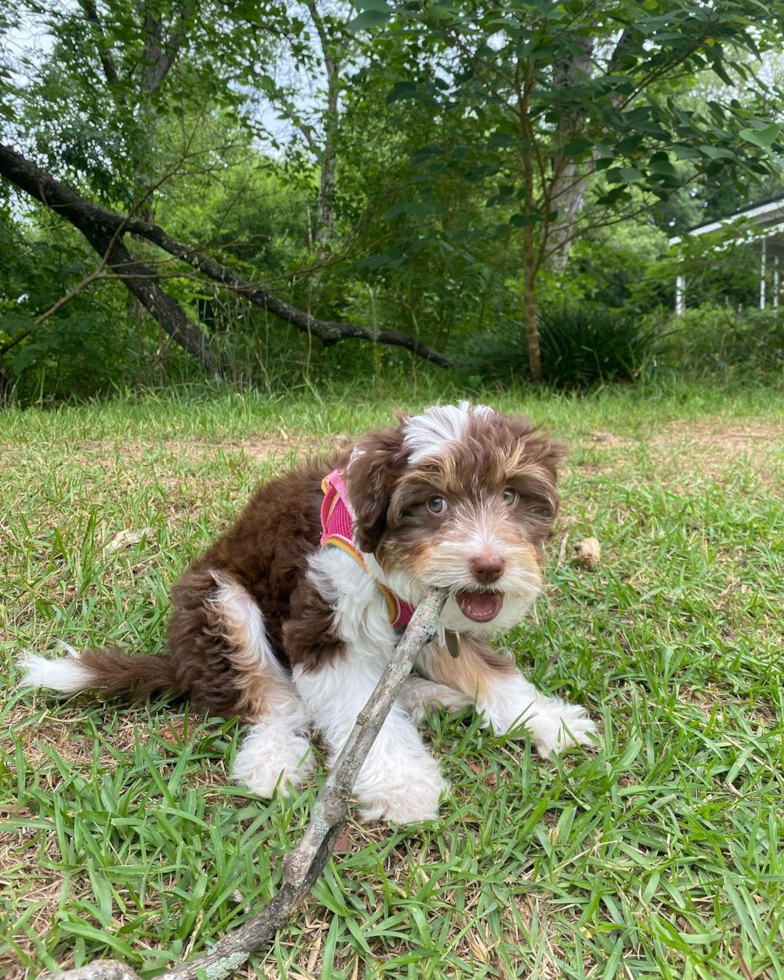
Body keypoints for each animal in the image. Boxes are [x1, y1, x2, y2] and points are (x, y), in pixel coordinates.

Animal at [18, 402, 596, 824]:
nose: (489, 566)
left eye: (510, 496)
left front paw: (548, 719)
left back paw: (426, 696)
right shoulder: (323, 618)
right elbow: (360, 715)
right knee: (273, 702)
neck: (391, 568)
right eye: (434, 504)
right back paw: (271, 762)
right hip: (221, 602)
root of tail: (179, 660)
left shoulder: (436, 613)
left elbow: (485, 669)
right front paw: (403, 785)